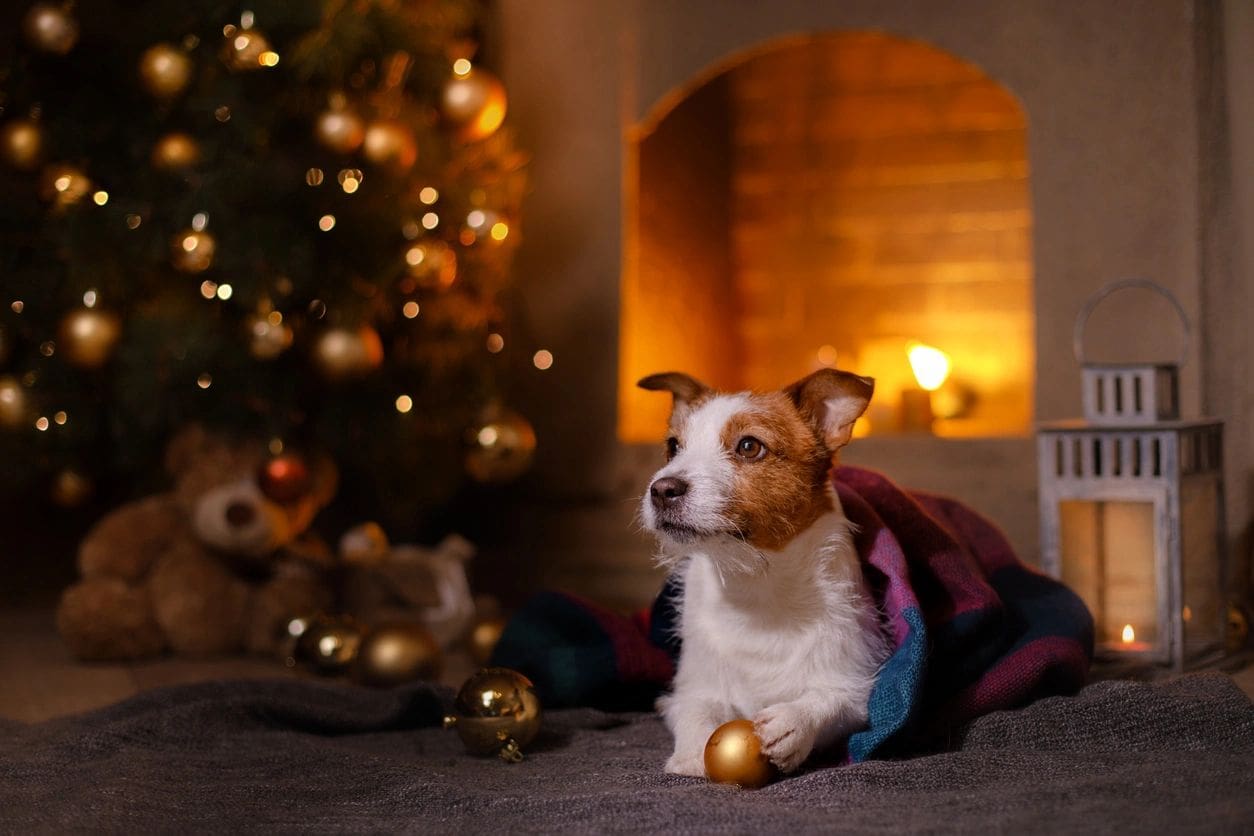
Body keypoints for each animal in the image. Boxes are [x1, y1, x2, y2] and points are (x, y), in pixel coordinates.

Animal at [637, 368, 892, 777]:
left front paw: (794, 722)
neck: (756, 586)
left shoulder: (857, 689)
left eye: (748, 446)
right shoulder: (693, 686)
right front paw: (692, 753)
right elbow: (694, 707)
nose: (661, 489)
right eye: (673, 447)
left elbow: (832, 700)